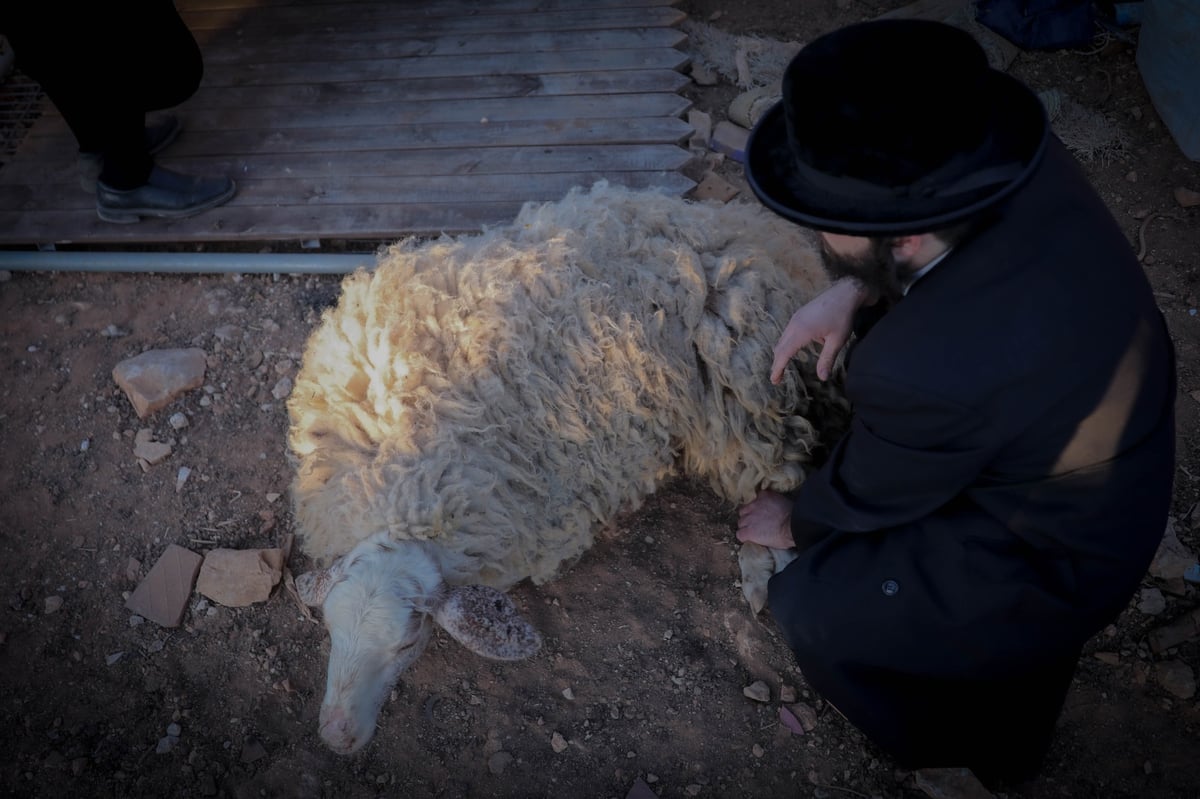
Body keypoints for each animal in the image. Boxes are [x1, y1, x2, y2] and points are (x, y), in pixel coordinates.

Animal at [283, 182, 844, 753]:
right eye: (329, 629)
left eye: (407, 643)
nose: (336, 735)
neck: (400, 462)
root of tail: (758, 229)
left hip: (750, 391)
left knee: (776, 474)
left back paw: (762, 565)